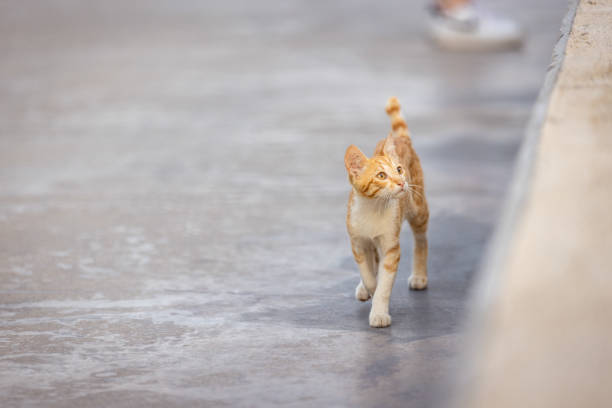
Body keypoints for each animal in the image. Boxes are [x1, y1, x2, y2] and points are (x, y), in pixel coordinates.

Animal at [346, 96, 428, 328]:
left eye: (399, 170)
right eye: (381, 176)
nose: (401, 182)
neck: (374, 207)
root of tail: (401, 139)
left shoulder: (391, 246)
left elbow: (384, 283)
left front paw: (379, 312)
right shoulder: (358, 242)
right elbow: (367, 272)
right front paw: (369, 286)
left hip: (418, 208)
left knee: (421, 239)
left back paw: (419, 276)